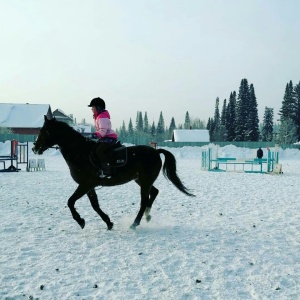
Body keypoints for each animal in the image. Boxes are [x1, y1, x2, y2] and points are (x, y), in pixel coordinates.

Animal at [32, 116, 195, 231]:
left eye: (44, 131)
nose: (35, 148)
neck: (80, 152)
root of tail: (155, 151)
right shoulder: (89, 186)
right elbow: (95, 205)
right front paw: (108, 222)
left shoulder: (85, 184)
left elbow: (70, 201)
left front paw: (81, 221)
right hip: (141, 180)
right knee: (154, 192)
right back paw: (147, 216)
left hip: (145, 181)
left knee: (144, 200)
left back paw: (135, 223)